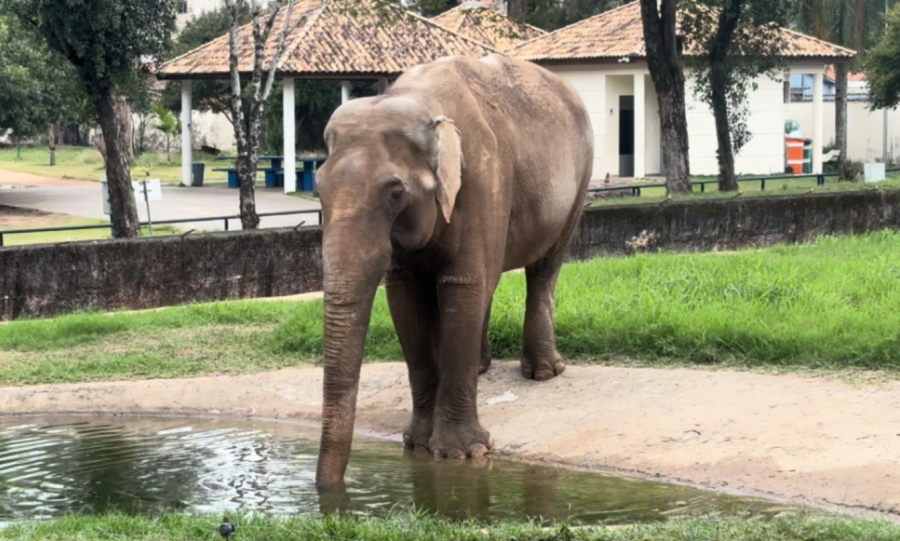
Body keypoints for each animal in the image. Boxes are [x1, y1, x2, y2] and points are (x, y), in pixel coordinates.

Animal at [314, 53, 594, 490]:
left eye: (396, 193)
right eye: (317, 189)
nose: (329, 492)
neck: (416, 99)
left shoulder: (483, 181)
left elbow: (462, 286)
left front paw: (462, 453)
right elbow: (407, 301)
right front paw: (416, 445)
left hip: (580, 180)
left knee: (544, 267)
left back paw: (544, 372)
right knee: (491, 282)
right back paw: (481, 367)